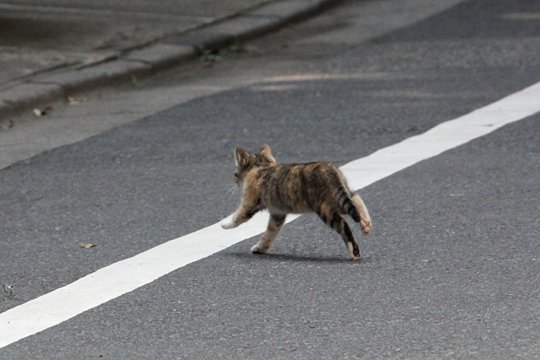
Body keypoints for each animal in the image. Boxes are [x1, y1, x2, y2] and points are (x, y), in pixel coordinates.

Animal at [219, 145, 372, 260]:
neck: (261, 167)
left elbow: (237, 217)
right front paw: (260, 248)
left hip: (325, 208)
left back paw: (353, 251)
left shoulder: (249, 204)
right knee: (356, 199)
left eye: (234, 174)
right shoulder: (277, 214)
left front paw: (224, 224)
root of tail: (327, 167)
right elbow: (269, 234)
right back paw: (366, 223)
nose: (235, 182)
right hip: (341, 196)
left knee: (344, 225)